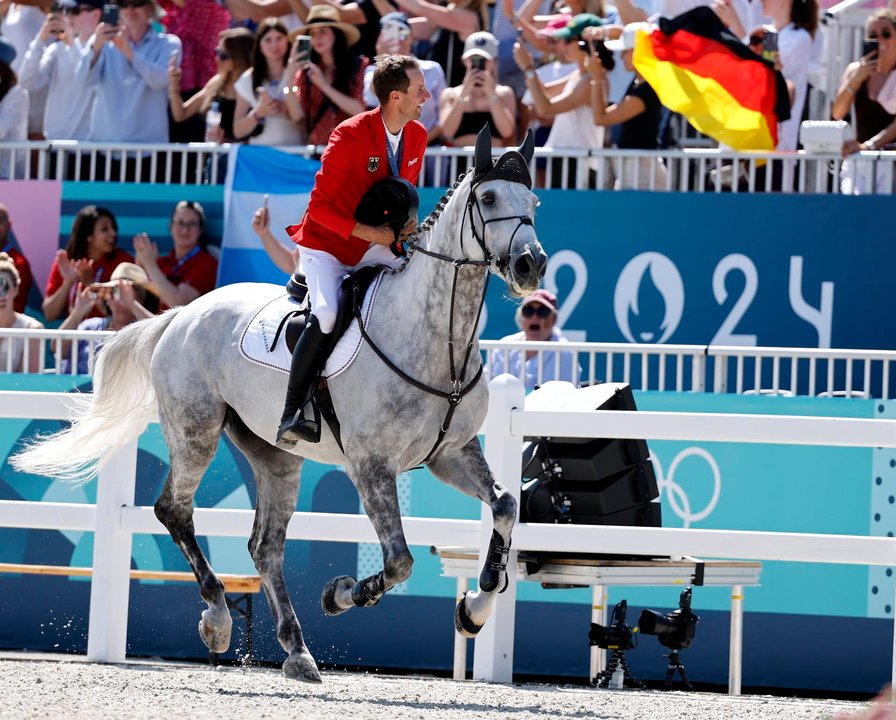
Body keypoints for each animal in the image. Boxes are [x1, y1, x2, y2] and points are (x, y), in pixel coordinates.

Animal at [12, 129, 544, 680]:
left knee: (264, 547)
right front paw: (341, 594)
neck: (439, 340)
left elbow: (505, 506)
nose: (532, 265)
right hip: (196, 430)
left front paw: (475, 610)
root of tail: (182, 313)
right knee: (174, 510)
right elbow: (399, 561)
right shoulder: (371, 465)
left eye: (533, 203)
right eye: (488, 198)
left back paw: (296, 650)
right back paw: (219, 618)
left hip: (275, 455)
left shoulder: (451, 454)